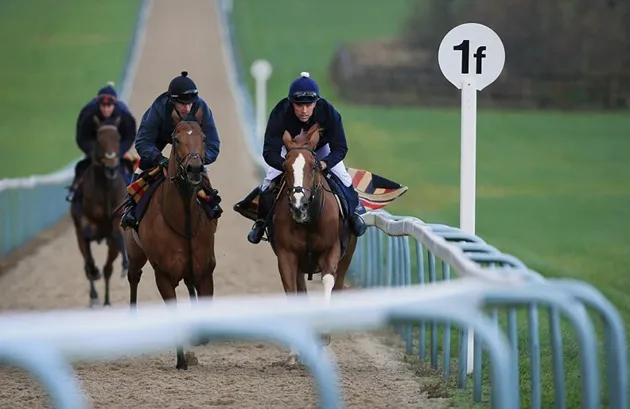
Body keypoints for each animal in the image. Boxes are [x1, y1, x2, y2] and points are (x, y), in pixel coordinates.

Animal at [70, 115, 130, 306]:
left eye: (117, 138)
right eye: (99, 140)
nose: (111, 167)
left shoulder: (117, 219)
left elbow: (118, 233)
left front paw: (125, 264)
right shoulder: (83, 226)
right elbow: (88, 257)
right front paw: (93, 274)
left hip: (112, 245)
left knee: (108, 268)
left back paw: (107, 301)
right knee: (89, 263)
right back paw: (94, 296)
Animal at [123, 107, 220, 370]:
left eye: (203, 138)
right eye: (176, 139)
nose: (195, 168)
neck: (183, 220)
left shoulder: (204, 269)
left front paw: (198, 338)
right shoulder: (164, 276)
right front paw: (181, 361)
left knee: (189, 284)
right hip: (135, 254)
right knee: (134, 277)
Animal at [274, 122, 358, 364]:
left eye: (313, 167)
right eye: (285, 166)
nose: (298, 204)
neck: (309, 220)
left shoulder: (331, 251)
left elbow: (328, 282)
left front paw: (323, 336)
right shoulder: (287, 256)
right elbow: (291, 291)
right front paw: (294, 351)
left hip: (347, 257)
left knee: (338, 285)